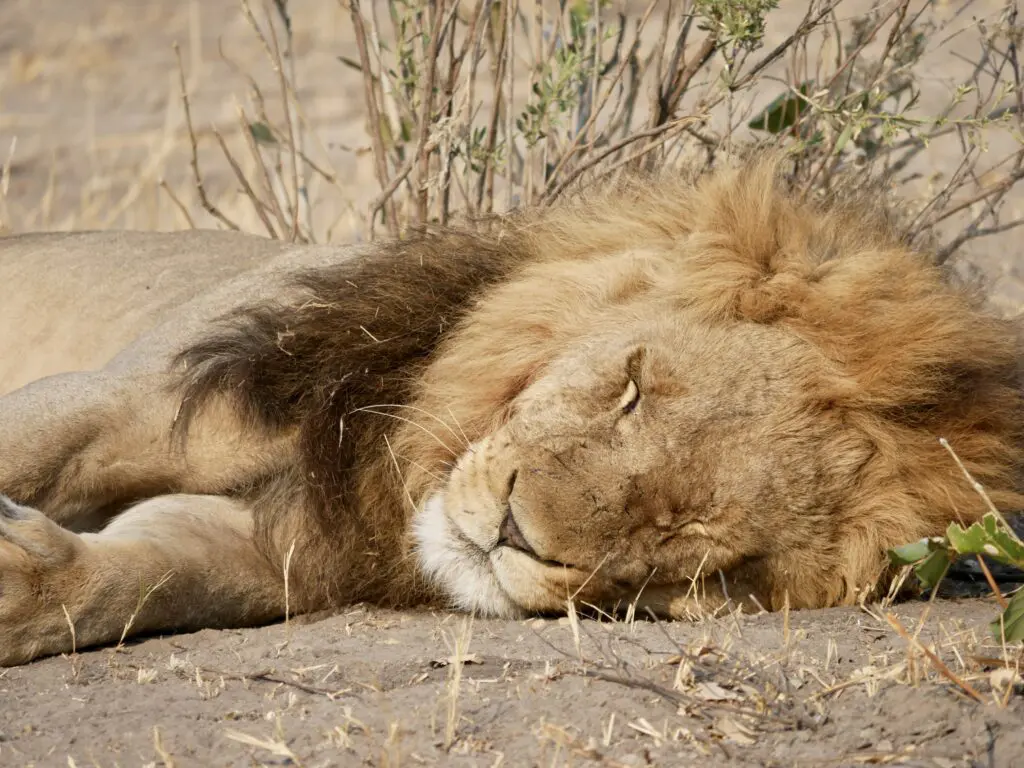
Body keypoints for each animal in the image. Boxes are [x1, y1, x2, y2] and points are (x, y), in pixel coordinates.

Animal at [0, 158, 1021, 667]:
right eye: (632, 384)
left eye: (694, 547)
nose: (513, 533)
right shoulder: (136, 398)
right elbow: (43, 448)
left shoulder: (273, 542)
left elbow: (147, 577)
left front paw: (25, 590)